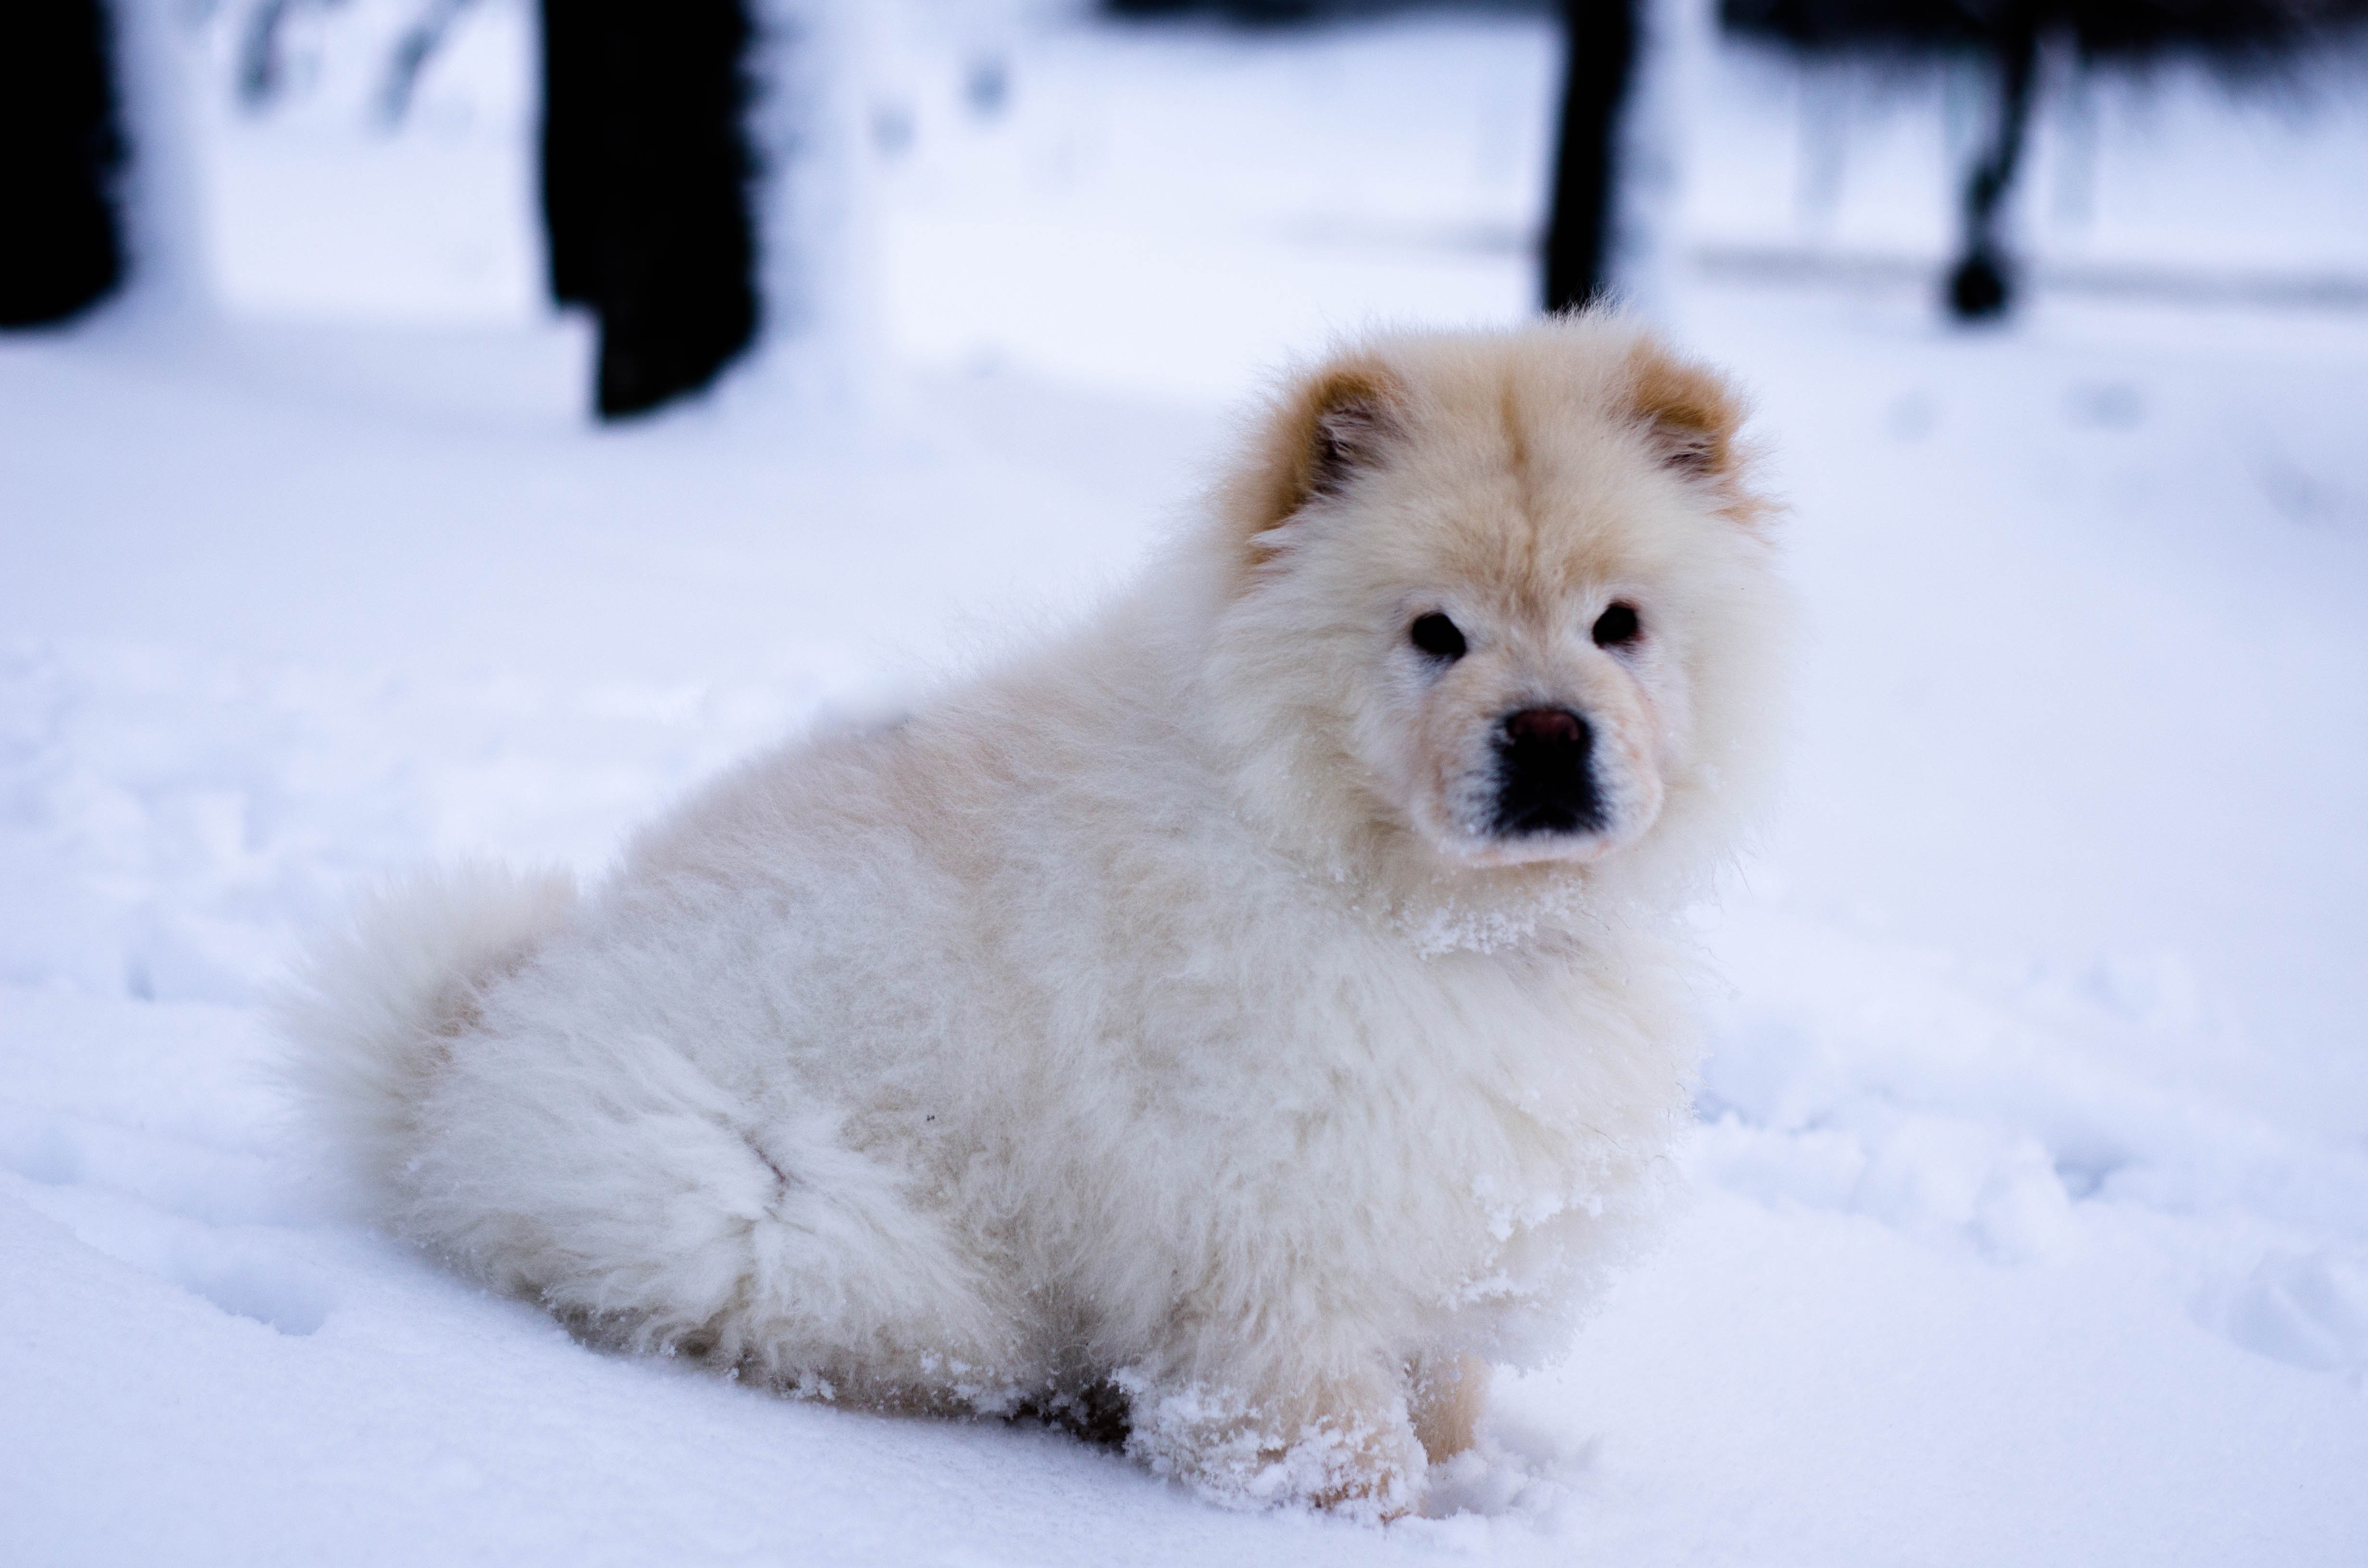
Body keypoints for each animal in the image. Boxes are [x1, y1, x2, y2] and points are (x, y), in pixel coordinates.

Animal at [282, 310, 1780, 1525]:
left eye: (1618, 625)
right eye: (1436, 635)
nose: (1548, 732)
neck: (1424, 907)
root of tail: (466, 1049)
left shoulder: (1449, 1197)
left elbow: (1445, 1390)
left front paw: (1465, 1475)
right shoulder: (1277, 1241)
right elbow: (1334, 1438)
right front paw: (1374, 1520)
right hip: (785, 1215)